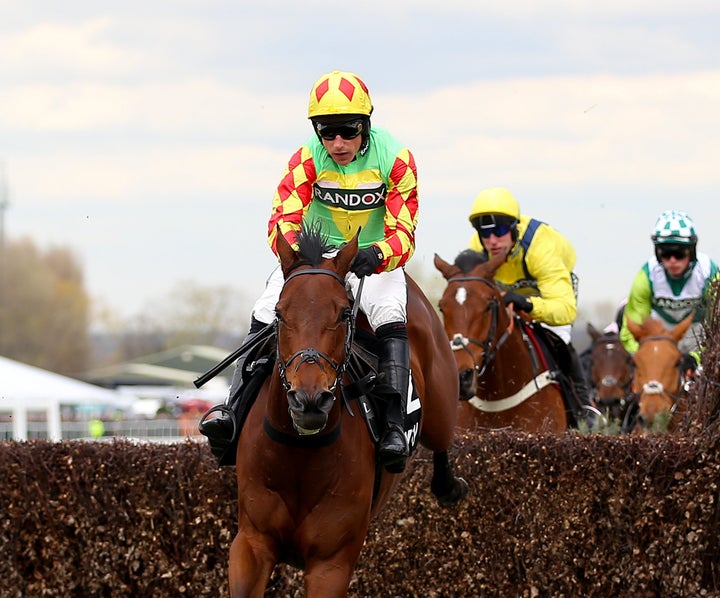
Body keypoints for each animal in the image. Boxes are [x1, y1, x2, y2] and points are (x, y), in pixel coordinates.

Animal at [228, 227, 470, 596]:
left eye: (344, 313)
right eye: (280, 314)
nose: (310, 400)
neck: (299, 455)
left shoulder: (332, 563)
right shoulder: (251, 545)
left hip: (441, 408)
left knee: (441, 438)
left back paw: (446, 484)